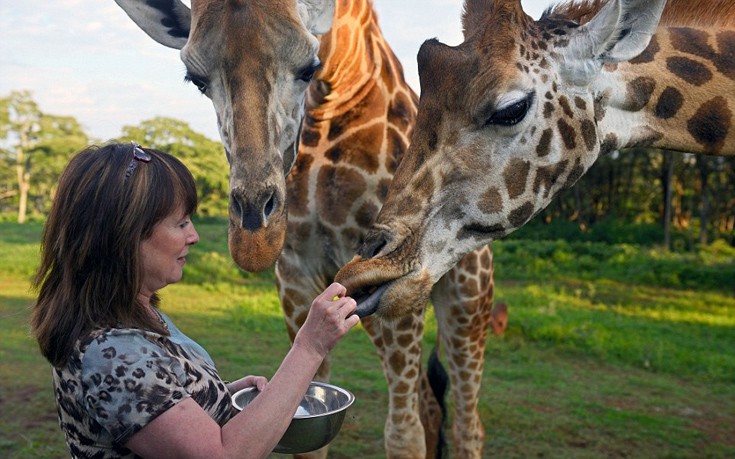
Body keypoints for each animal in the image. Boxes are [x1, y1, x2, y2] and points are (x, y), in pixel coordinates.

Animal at [278, 1, 500, 458]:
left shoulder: (394, 286)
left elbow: (401, 433)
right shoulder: (295, 275)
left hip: (468, 303)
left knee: (465, 418)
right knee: (431, 402)